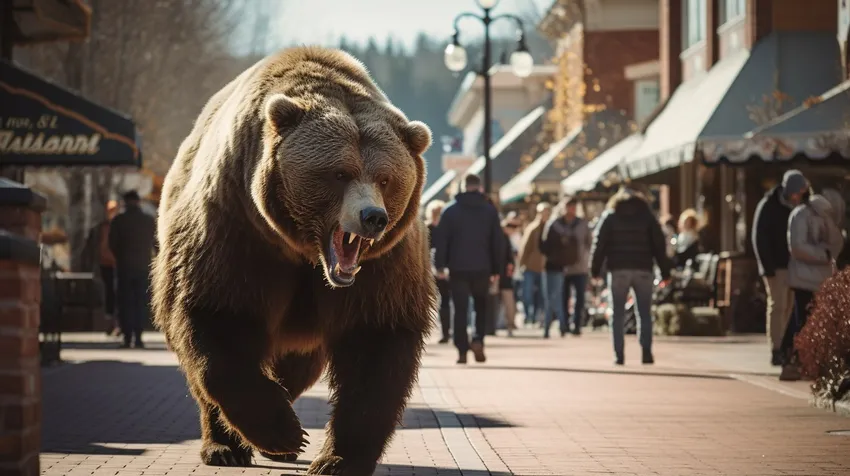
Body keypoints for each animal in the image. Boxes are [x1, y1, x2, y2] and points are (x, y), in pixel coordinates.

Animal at [150, 46, 436, 475]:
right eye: (339, 173)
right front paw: (281, 431)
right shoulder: (235, 228)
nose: (373, 217)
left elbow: (375, 344)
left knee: (298, 365)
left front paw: (338, 457)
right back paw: (224, 445)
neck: (305, 252)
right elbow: (217, 315)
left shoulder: (384, 265)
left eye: (386, 178)